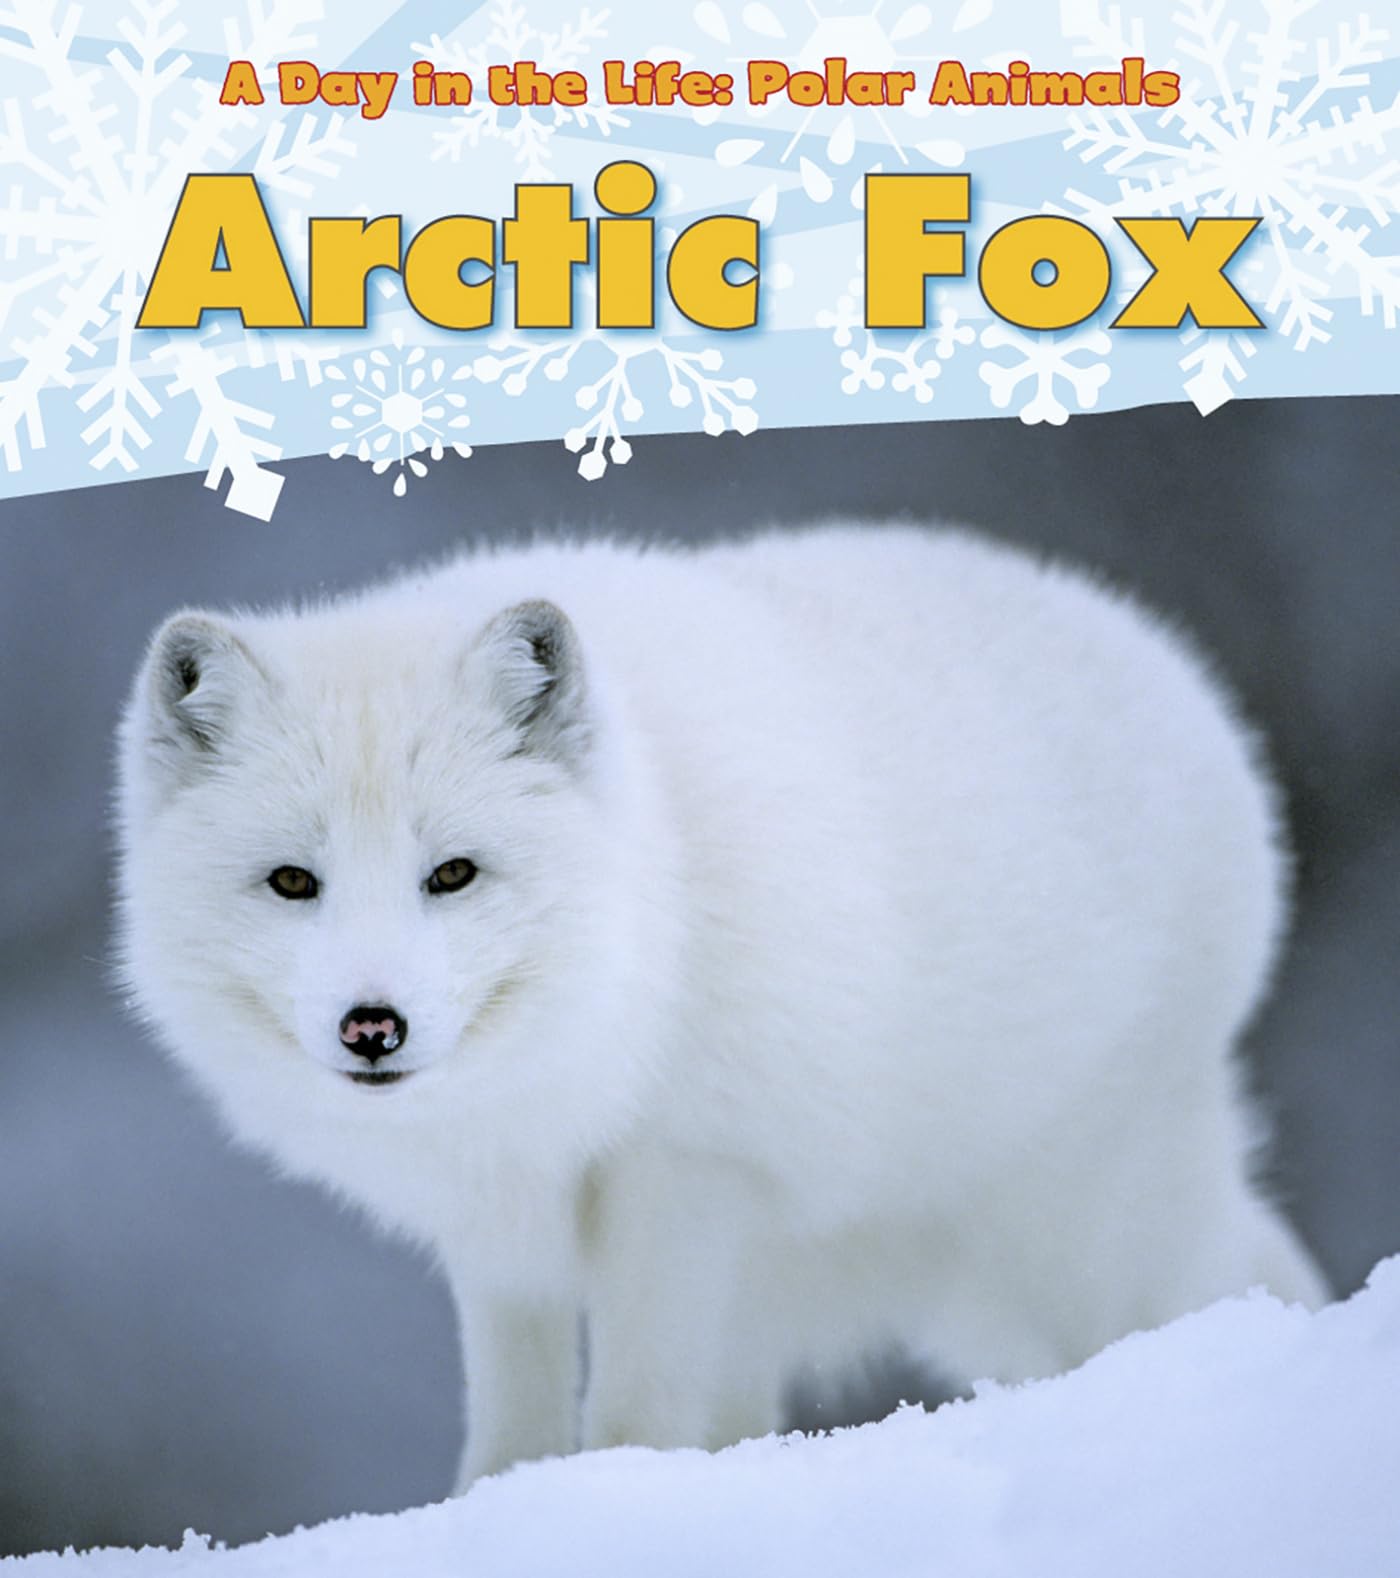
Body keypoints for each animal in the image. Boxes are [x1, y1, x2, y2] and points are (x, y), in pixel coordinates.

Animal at [115, 524, 1328, 1491]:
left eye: (451, 875)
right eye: (292, 882)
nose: (373, 1026)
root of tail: (1172, 671)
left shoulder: (685, 1175)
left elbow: (635, 1411)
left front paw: (613, 1501)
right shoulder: (501, 1238)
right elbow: (511, 1429)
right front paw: (499, 1510)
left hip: (1081, 1224)